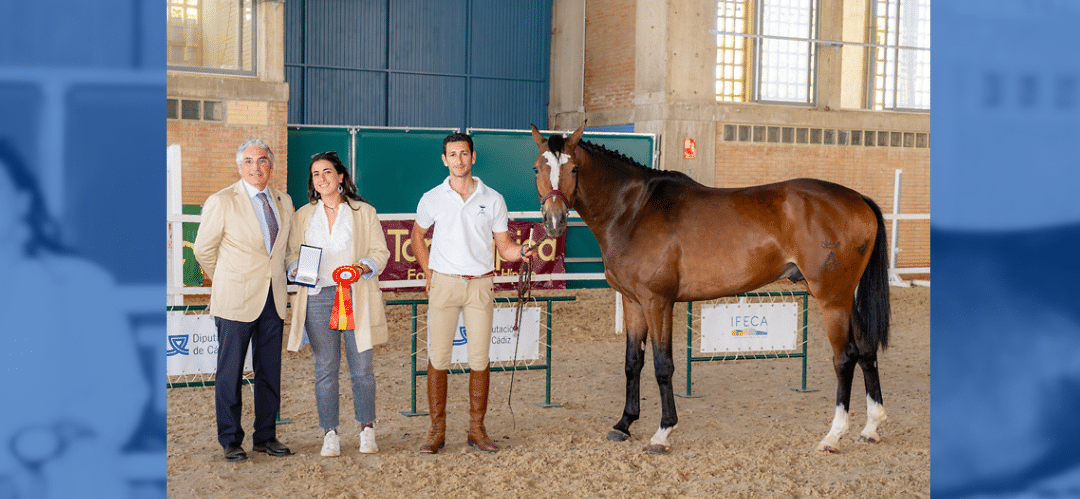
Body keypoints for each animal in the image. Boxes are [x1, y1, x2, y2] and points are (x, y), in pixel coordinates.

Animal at [527, 122, 889, 453]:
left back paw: (833, 435)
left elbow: (662, 365)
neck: (633, 210)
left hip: (831, 298)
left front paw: (663, 432)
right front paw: (624, 423)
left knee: (845, 357)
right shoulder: (632, 302)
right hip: (847, 296)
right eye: (537, 167)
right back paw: (871, 427)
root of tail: (858, 199)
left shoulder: (658, 302)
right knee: (866, 350)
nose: (554, 221)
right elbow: (633, 363)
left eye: (574, 168)